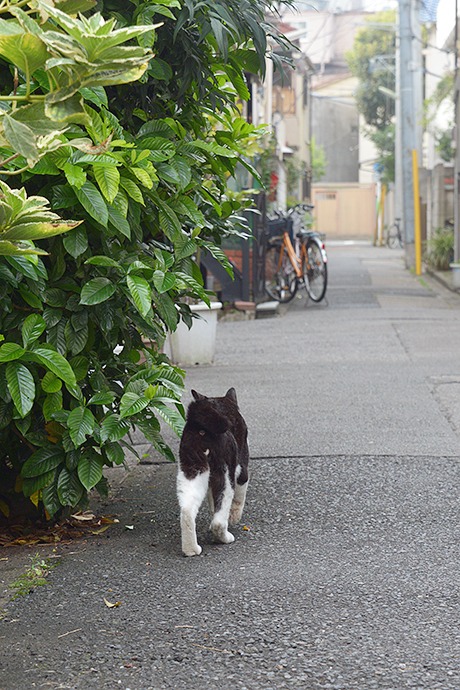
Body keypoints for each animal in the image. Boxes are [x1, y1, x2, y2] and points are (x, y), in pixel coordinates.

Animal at [177, 388, 250, 552]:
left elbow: (212, 504)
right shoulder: (242, 470)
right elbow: (239, 498)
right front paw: (234, 517)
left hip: (193, 470)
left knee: (187, 511)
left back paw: (191, 549)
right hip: (225, 474)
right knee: (219, 519)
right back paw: (224, 537)